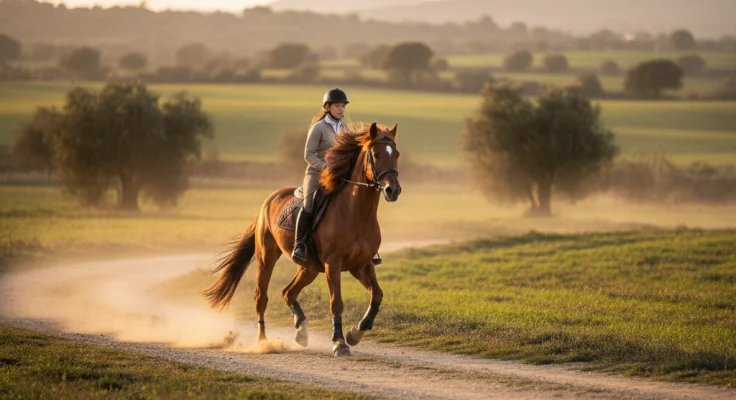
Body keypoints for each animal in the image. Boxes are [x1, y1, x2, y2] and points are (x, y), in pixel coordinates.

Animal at [203, 122, 401, 356]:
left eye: (396, 154)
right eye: (376, 154)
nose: (392, 190)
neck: (356, 213)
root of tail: (269, 200)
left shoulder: (361, 265)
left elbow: (377, 295)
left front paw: (356, 333)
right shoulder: (333, 264)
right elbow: (336, 302)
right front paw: (339, 342)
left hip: (309, 268)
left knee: (288, 293)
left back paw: (301, 332)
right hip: (267, 257)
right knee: (261, 297)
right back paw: (263, 342)